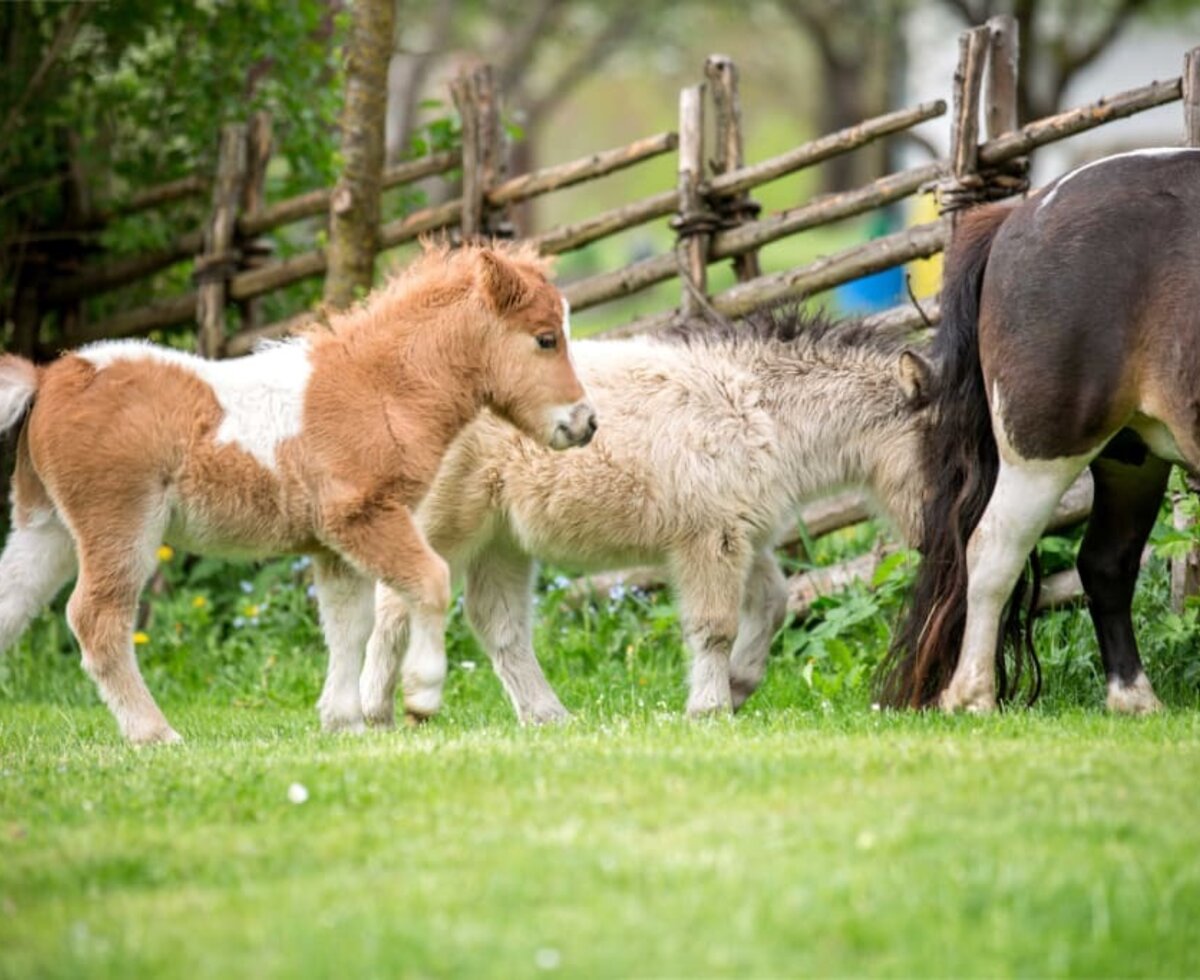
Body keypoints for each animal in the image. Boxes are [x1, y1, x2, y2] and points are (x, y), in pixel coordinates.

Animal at [0, 242, 595, 743]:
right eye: (546, 339)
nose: (585, 423)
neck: (380, 389)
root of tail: (47, 380)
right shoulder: (365, 515)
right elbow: (430, 582)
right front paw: (422, 695)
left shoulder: (333, 545)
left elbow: (348, 626)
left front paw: (343, 721)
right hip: (120, 523)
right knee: (97, 619)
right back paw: (154, 733)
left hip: (45, 527)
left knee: (13, 602)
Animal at [350, 307, 931, 724]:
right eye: (943, 445)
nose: (933, 539)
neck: (757, 408)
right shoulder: (711, 538)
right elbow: (714, 626)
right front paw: (709, 709)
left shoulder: (744, 535)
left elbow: (773, 601)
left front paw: (739, 686)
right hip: (445, 522)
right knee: (395, 601)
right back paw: (377, 711)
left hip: (502, 540)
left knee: (498, 624)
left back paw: (548, 717)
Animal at [878, 145, 1200, 710]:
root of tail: (1020, 214)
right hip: (1045, 450)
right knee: (991, 552)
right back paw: (972, 697)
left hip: (1132, 457)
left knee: (1105, 562)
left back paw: (1133, 699)